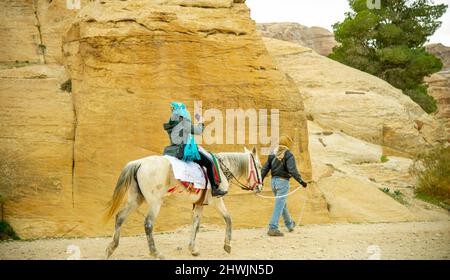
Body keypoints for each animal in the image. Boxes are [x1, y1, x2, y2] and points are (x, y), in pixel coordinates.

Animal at [103, 148, 262, 260]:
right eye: (259, 167)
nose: (260, 187)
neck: (222, 169)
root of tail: (140, 163)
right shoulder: (217, 200)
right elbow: (228, 218)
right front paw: (227, 245)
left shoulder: (199, 204)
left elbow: (196, 225)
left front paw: (193, 249)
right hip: (155, 202)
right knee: (148, 224)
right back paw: (156, 253)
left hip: (136, 199)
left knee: (120, 217)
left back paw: (110, 248)